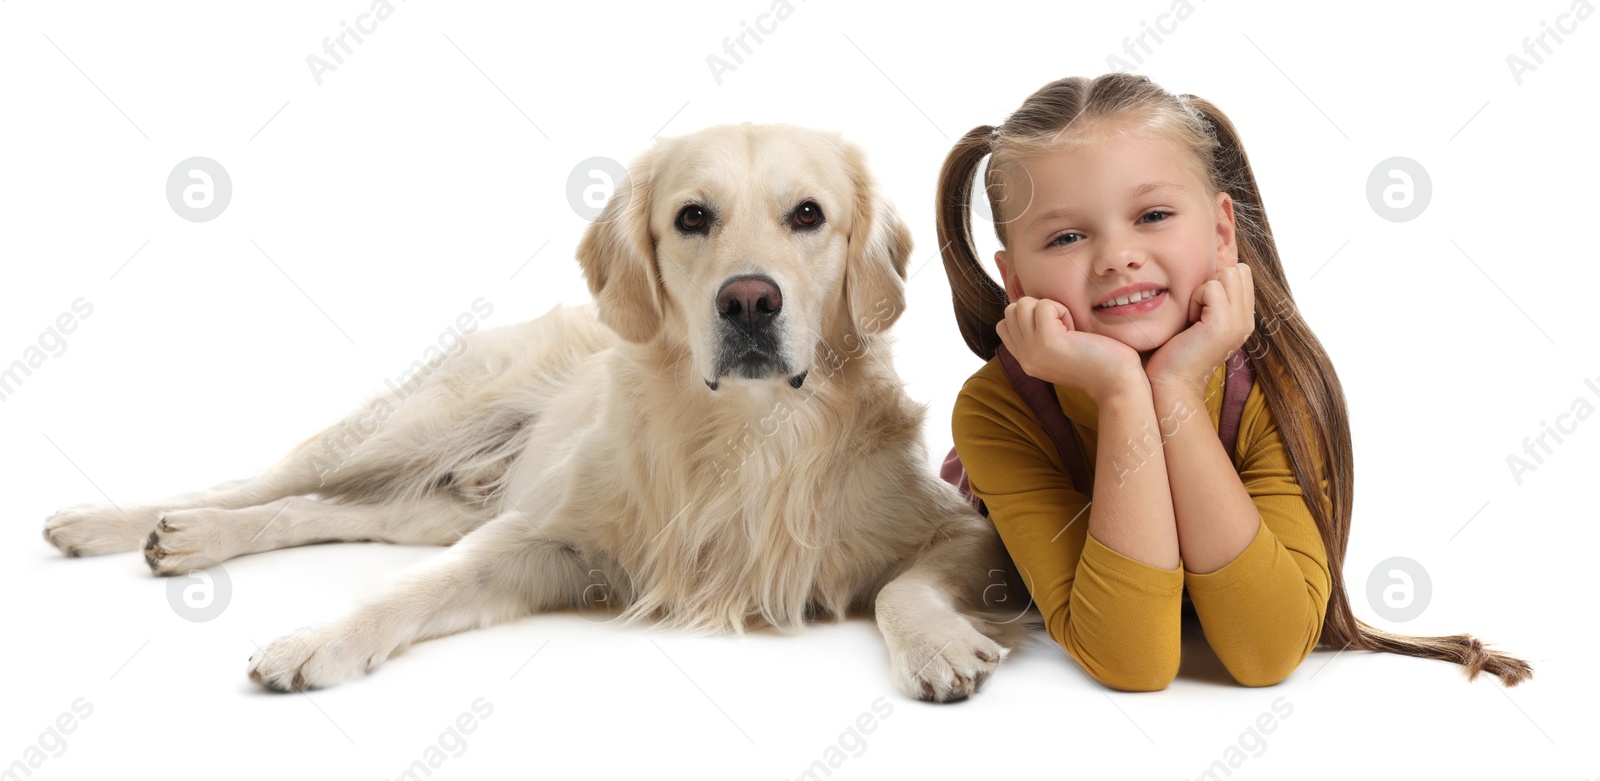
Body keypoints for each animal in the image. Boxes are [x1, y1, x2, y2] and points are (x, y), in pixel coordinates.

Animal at [46, 126, 1036, 700]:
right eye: (692, 216)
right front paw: (319, 638)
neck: (750, 432)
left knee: (313, 510)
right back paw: (122, 523)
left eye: (807, 215)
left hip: (433, 499)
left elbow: (904, 586)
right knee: (265, 480)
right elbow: (412, 590)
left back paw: (179, 539)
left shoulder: (961, 530)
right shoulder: (543, 537)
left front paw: (937, 647)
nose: (749, 301)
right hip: (415, 425)